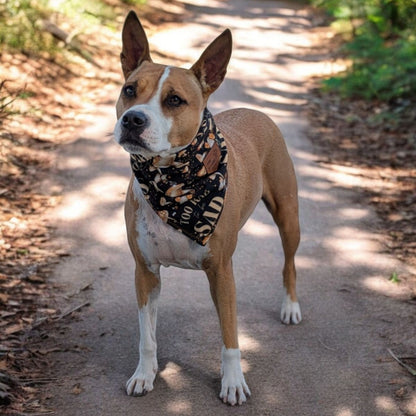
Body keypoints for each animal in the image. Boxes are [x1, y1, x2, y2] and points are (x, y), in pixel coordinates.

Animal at [114, 10, 302, 406]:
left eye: (174, 100)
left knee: (290, 262)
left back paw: (290, 306)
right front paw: (144, 374)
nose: (133, 119)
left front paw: (233, 383)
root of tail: (253, 110)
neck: (174, 181)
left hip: (288, 215)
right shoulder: (145, 271)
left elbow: (230, 335)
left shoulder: (221, 273)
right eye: (129, 90)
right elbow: (146, 336)